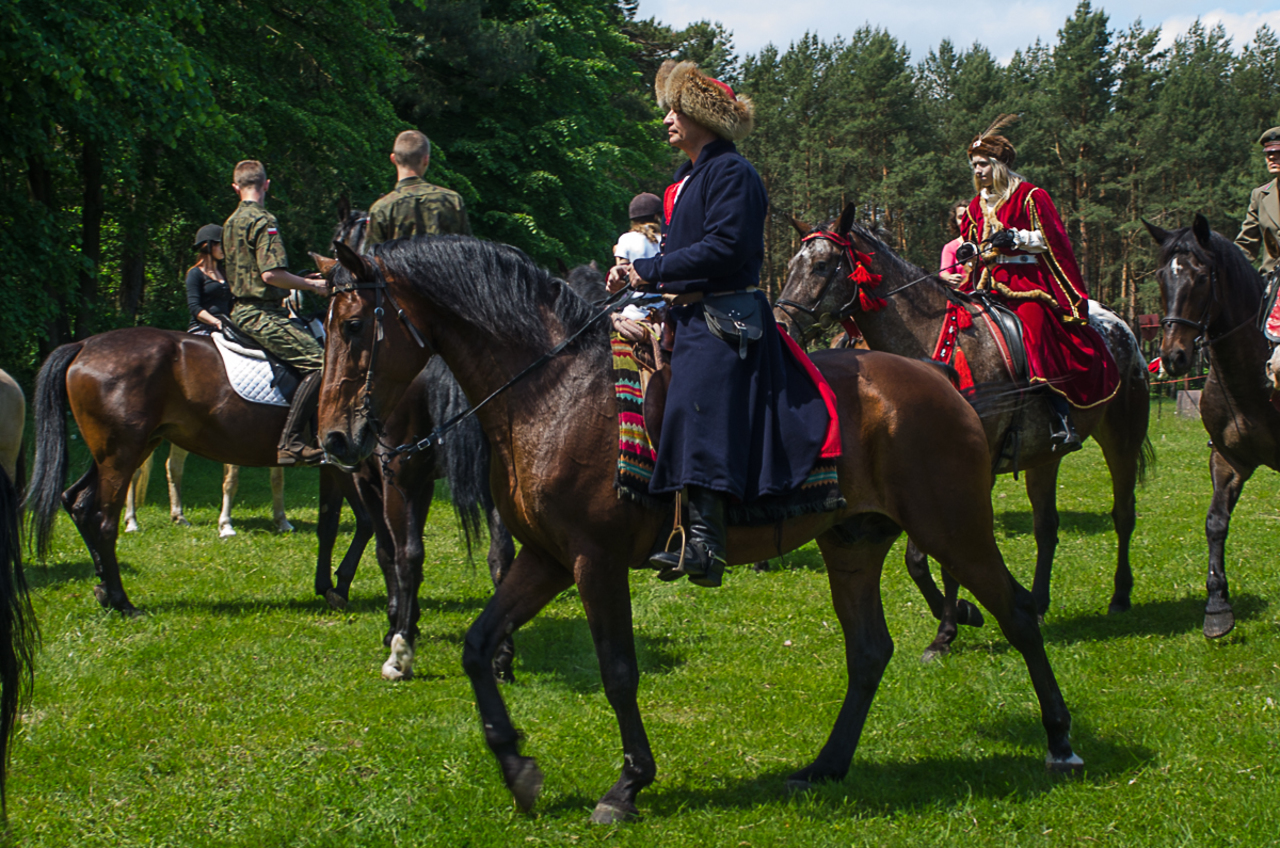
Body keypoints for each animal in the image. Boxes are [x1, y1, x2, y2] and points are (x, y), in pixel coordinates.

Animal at [312, 236, 1080, 824]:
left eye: (353, 326)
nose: (335, 439)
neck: (554, 393)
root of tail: (942, 383)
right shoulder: (547, 558)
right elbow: (477, 646)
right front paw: (516, 766)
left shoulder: (594, 561)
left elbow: (619, 671)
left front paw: (628, 784)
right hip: (854, 543)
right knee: (868, 653)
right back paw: (825, 766)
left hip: (955, 526)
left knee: (1016, 612)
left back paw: (1060, 741)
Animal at [773, 208, 1157, 660]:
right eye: (791, 265)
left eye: (820, 265)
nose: (781, 325)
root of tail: (1120, 327)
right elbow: (921, 560)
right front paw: (960, 617)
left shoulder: (969, 472)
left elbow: (937, 557)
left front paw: (949, 627)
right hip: (1044, 458)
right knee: (1046, 526)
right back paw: (1038, 601)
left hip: (1122, 436)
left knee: (1123, 514)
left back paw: (1120, 596)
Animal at [1146, 216, 1274, 640]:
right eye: (1161, 277)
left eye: (1202, 278)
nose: (1174, 355)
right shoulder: (1228, 459)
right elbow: (1216, 523)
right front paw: (1218, 605)